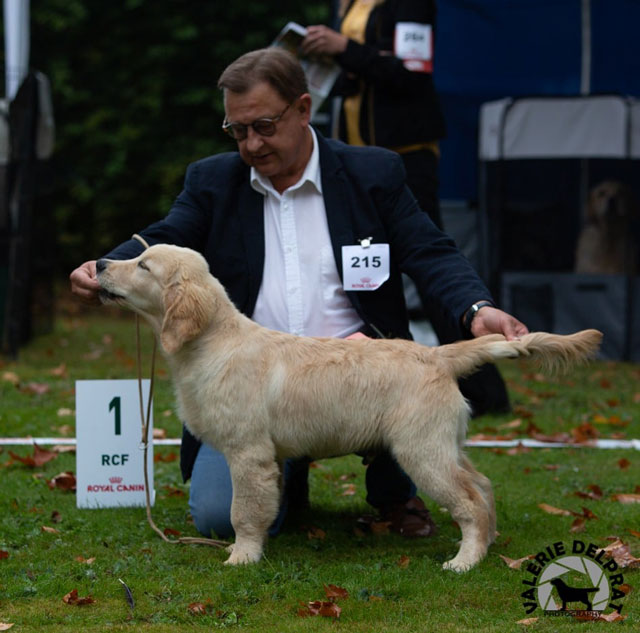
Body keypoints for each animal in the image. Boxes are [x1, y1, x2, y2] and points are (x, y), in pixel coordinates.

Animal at [97, 244, 604, 572]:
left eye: (143, 265)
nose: (100, 263)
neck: (212, 342)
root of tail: (438, 354)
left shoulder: (248, 453)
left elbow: (243, 510)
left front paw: (243, 555)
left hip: (421, 450)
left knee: (470, 500)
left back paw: (466, 559)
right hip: (444, 443)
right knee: (483, 485)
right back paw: (489, 541)